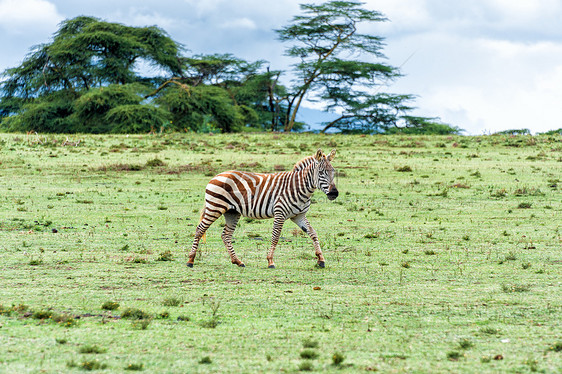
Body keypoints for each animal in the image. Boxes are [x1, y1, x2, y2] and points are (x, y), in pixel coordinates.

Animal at [188, 148, 336, 268]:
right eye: (321, 172)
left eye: (333, 172)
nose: (334, 193)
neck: (299, 188)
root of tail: (217, 175)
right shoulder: (280, 213)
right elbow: (275, 236)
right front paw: (270, 261)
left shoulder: (298, 216)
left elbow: (313, 233)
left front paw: (321, 259)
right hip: (215, 207)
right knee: (200, 229)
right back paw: (191, 260)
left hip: (232, 212)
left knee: (226, 235)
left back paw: (238, 261)